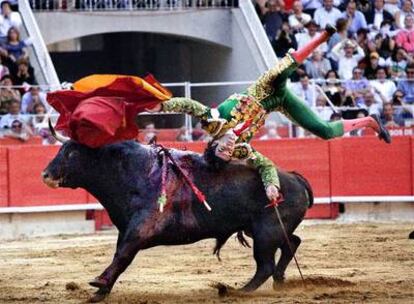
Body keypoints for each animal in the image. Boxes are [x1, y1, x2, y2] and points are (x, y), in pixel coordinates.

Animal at [42, 140, 314, 302]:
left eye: (72, 152)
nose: (45, 174)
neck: (132, 173)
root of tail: (294, 177)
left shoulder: (140, 229)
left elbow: (122, 255)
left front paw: (99, 283)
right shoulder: (127, 230)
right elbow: (120, 256)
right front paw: (101, 291)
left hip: (266, 233)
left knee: (265, 264)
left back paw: (238, 291)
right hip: (265, 231)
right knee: (292, 243)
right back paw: (279, 281)